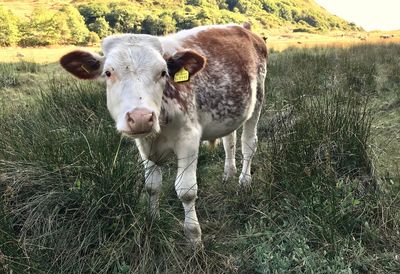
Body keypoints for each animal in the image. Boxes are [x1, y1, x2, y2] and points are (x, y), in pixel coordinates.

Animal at [60, 24, 268, 244]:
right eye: (108, 73)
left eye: (163, 72)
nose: (141, 117)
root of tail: (243, 28)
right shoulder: (144, 144)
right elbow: (152, 186)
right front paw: (153, 218)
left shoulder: (188, 139)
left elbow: (186, 191)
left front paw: (193, 236)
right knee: (230, 141)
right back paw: (229, 173)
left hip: (258, 100)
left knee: (248, 144)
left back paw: (244, 181)